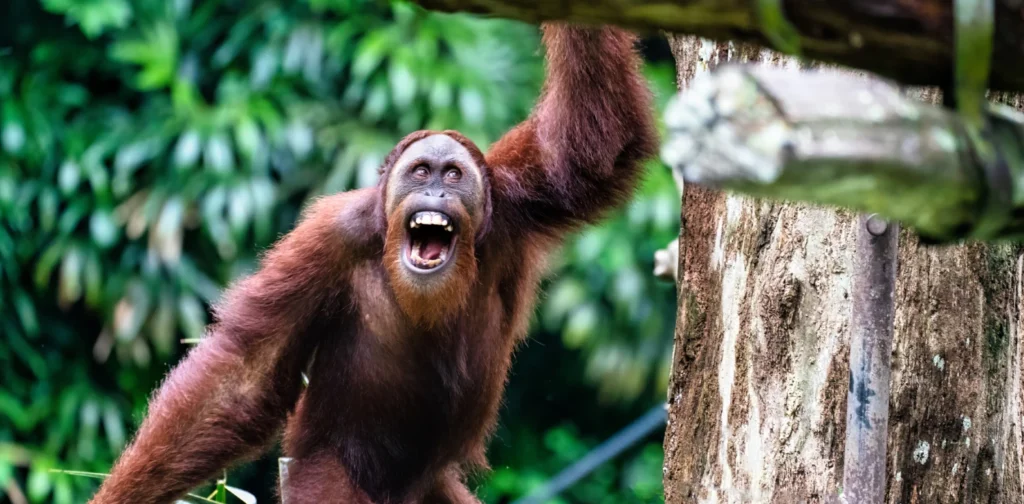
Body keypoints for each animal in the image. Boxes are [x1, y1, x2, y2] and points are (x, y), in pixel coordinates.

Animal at [88, 21, 657, 504]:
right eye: (421, 171)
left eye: (453, 175)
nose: (434, 191)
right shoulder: (327, 240)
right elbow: (244, 375)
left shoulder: (518, 195)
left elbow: (593, 150)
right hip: (317, 471)